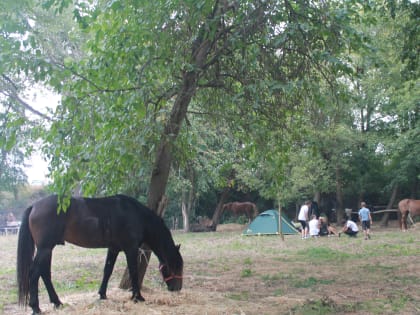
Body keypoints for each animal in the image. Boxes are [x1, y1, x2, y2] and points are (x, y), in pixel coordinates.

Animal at [16, 195, 184, 315]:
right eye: (177, 266)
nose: (177, 289)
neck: (136, 215)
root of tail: (34, 206)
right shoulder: (131, 249)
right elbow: (133, 272)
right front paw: (138, 297)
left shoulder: (114, 249)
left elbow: (107, 271)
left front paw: (102, 295)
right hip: (45, 249)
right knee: (34, 273)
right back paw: (36, 308)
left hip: (47, 249)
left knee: (44, 274)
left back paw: (57, 302)